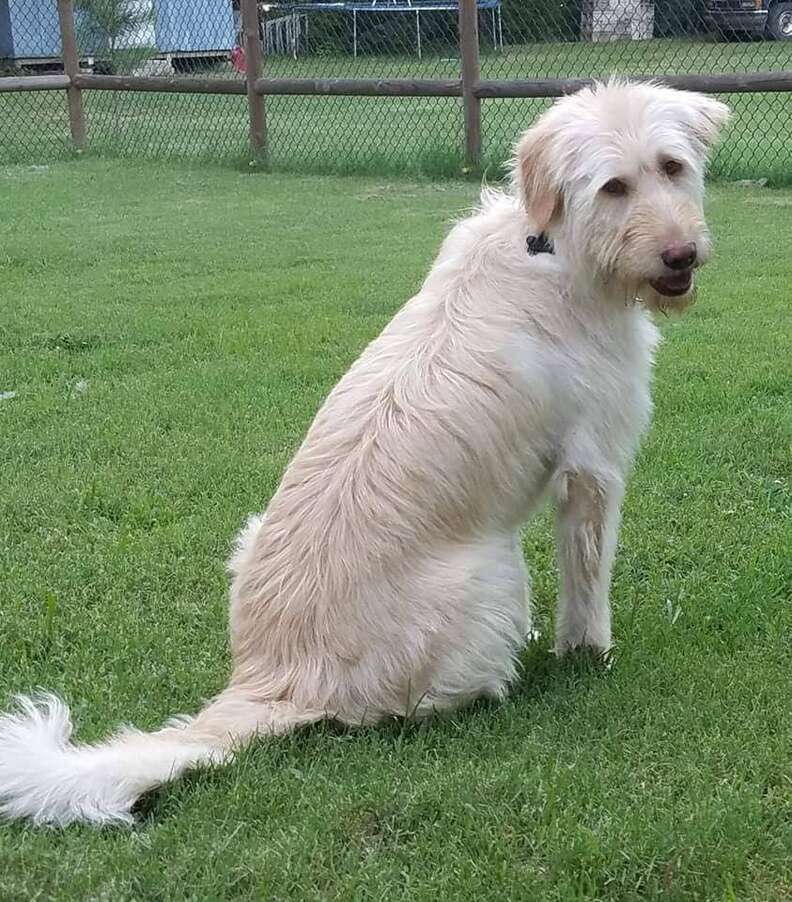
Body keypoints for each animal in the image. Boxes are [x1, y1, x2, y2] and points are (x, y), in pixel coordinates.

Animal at [0, 79, 732, 828]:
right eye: (613, 186)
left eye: (672, 166)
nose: (682, 256)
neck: (554, 244)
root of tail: (277, 678)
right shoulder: (594, 470)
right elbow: (588, 588)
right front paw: (590, 657)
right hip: (496, 577)